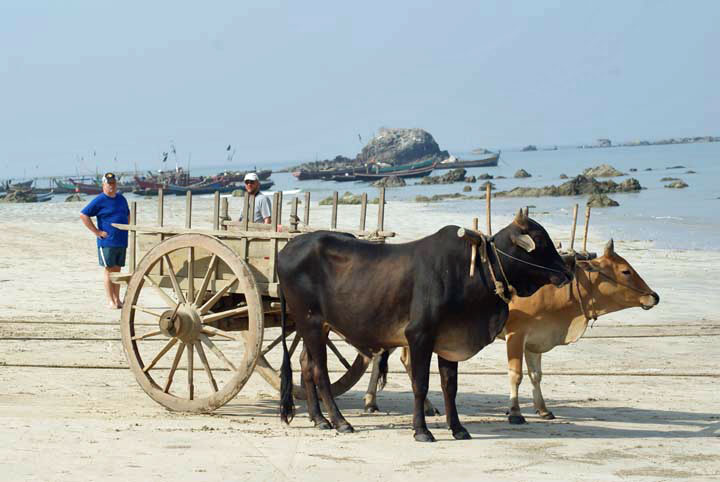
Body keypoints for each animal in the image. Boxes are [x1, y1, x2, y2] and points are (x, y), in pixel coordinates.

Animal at [277, 209, 573, 442]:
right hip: (310, 322)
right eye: (540, 240)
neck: (476, 273)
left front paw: (458, 428)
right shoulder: (419, 336)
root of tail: (288, 248)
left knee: (306, 365)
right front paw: (422, 430)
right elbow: (420, 384)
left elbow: (449, 386)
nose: (567, 272)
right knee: (320, 372)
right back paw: (340, 422)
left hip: (315, 327)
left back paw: (319, 419)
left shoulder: (452, 339)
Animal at [362, 239, 659, 424]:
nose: (654, 296)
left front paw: (543, 409)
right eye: (625, 270)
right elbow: (516, 375)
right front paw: (515, 412)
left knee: (395, 359)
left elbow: (536, 375)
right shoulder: (516, 335)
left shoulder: (535, 340)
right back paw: (375, 402)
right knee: (388, 358)